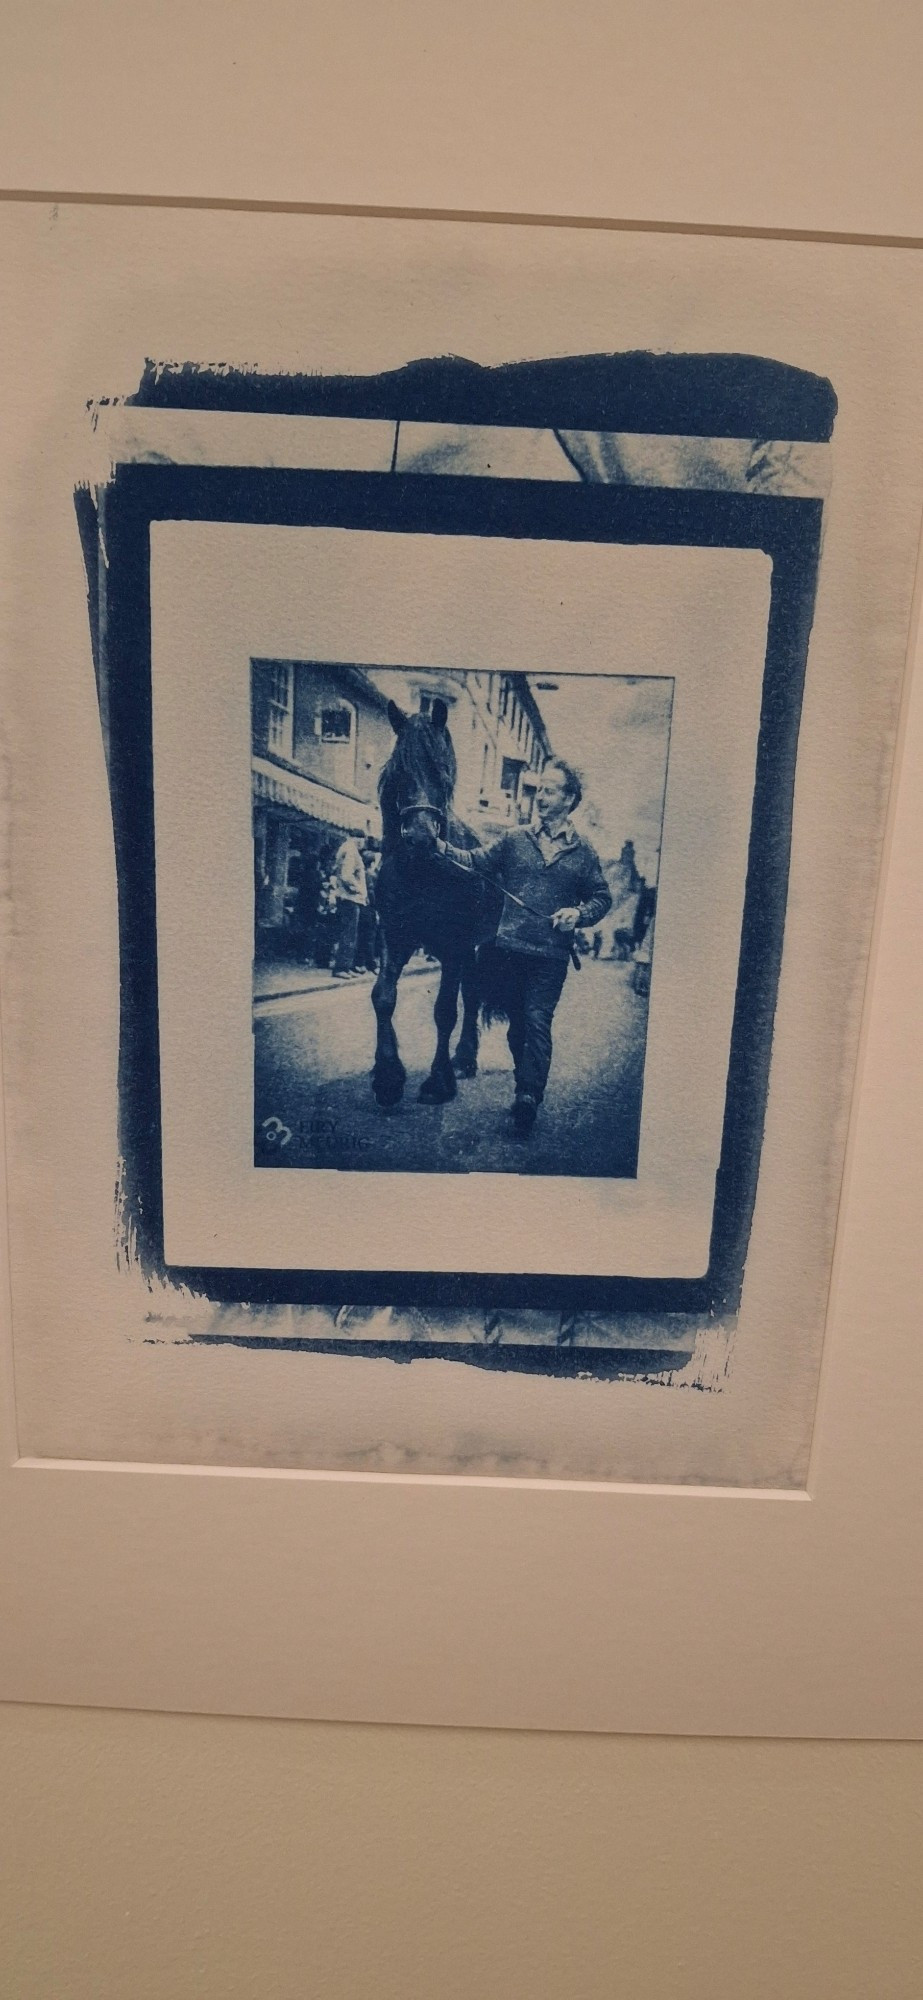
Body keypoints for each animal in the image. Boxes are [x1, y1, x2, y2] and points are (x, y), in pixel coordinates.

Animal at [371, 704, 501, 1112]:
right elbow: (383, 997)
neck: (421, 874)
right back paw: (464, 1058)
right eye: (399, 773)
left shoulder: (455, 945)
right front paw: (387, 1077)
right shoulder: (394, 936)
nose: (420, 838)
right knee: (472, 993)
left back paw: (463, 1059)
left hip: (480, 945)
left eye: (443, 775)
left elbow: (445, 1011)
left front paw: (437, 1082)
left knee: (470, 997)